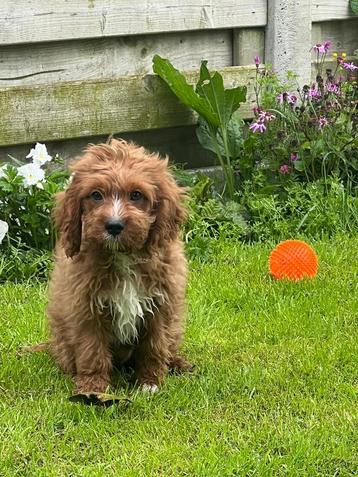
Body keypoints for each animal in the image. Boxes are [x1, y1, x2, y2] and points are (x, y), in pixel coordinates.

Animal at [48, 139, 193, 394]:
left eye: (136, 195)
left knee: (170, 344)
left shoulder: (160, 306)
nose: (114, 226)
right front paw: (93, 388)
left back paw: (177, 363)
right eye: (96, 195)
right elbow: (92, 350)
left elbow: (155, 346)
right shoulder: (86, 308)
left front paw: (150, 382)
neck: (123, 256)